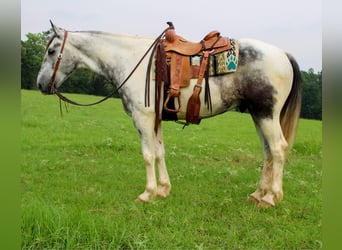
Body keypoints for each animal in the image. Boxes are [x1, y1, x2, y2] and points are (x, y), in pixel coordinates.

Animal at [36, 21, 300, 208]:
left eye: (51, 51)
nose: (40, 84)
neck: (130, 59)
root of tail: (284, 54)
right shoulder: (156, 119)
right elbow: (160, 152)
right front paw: (163, 190)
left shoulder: (142, 117)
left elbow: (147, 155)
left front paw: (147, 193)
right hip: (258, 115)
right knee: (267, 152)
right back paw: (257, 194)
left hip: (266, 114)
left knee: (277, 149)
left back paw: (271, 198)